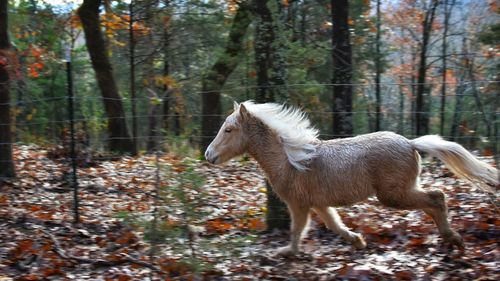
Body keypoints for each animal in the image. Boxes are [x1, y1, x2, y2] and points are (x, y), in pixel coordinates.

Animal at [205, 100, 498, 256]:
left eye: (229, 130)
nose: (208, 155)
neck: (289, 160)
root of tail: (411, 143)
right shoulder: (319, 204)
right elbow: (334, 224)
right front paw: (357, 240)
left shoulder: (298, 205)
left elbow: (297, 229)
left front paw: (287, 253)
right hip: (401, 192)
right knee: (434, 201)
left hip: (394, 195)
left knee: (437, 198)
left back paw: (454, 239)